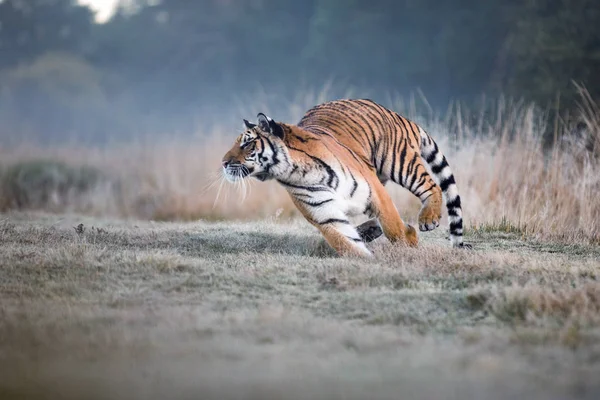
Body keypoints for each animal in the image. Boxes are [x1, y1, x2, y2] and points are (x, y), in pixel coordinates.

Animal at [223, 98, 472, 258]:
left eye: (247, 144)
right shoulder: (323, 213)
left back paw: (427, 219)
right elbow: (344, 241)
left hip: (399, 163)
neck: (297, 172)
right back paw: (371, 230)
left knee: (431, 185)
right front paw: (366, 260)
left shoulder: (374, 191)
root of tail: (397, 115)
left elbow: (393, 226)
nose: (223, 163)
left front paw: (408, 243)